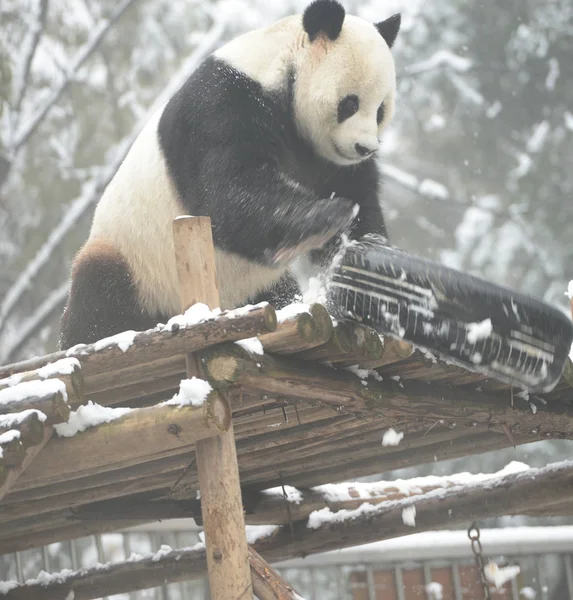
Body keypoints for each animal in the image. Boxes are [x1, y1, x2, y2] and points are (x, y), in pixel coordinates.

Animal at [57, 0, 398, 350]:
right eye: (350, 104)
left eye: (380, 111)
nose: (365, 147)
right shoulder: (221, 107)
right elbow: (227, 195)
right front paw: (327, 216)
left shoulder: (329, 160)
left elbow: (362, 208)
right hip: (134, 258)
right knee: (100, 292)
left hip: (250, 284)